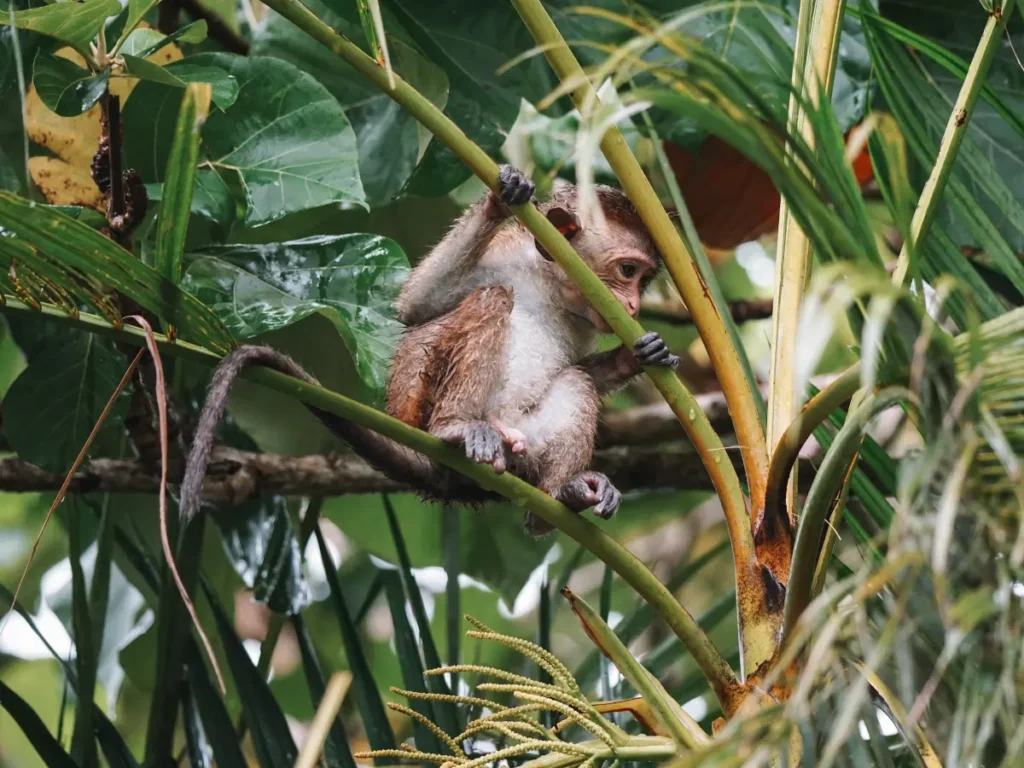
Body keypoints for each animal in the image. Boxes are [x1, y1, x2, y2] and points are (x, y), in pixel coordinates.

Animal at [178, 166, 678, 535]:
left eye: (643, 280)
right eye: (627, 271)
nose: (633, 306)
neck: (554, 287)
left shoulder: (585, 321)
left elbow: (582, 370)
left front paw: (640, 355)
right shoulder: (508, 253)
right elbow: (418, 306)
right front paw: (502, 198)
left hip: (527, 448)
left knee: (572, 385)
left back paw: (560, 498)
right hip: (423, 407)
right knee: (492, 299)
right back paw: (455, 429)